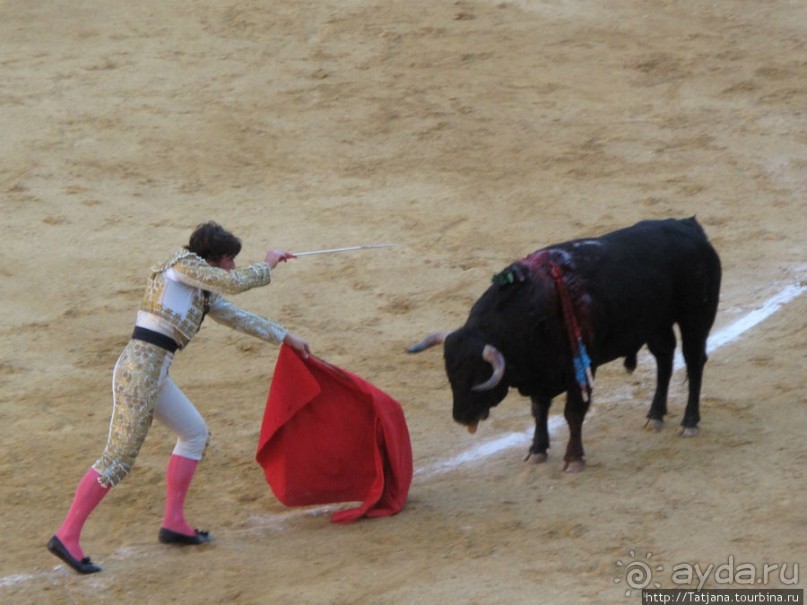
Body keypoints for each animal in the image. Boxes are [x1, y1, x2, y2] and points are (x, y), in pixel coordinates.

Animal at [408, 218, 724, 472]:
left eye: (478, 375)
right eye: (450, 375)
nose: (461, 417)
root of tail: (691, 227)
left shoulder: (581, 370)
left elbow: (573, 413)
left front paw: (574, 458)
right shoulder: (540, 374)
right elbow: (539, 410)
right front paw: (536, 450)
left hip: (696, 317)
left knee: (693, 361)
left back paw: (689, 422)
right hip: (656, 323)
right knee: (664, 359)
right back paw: (655, 415)